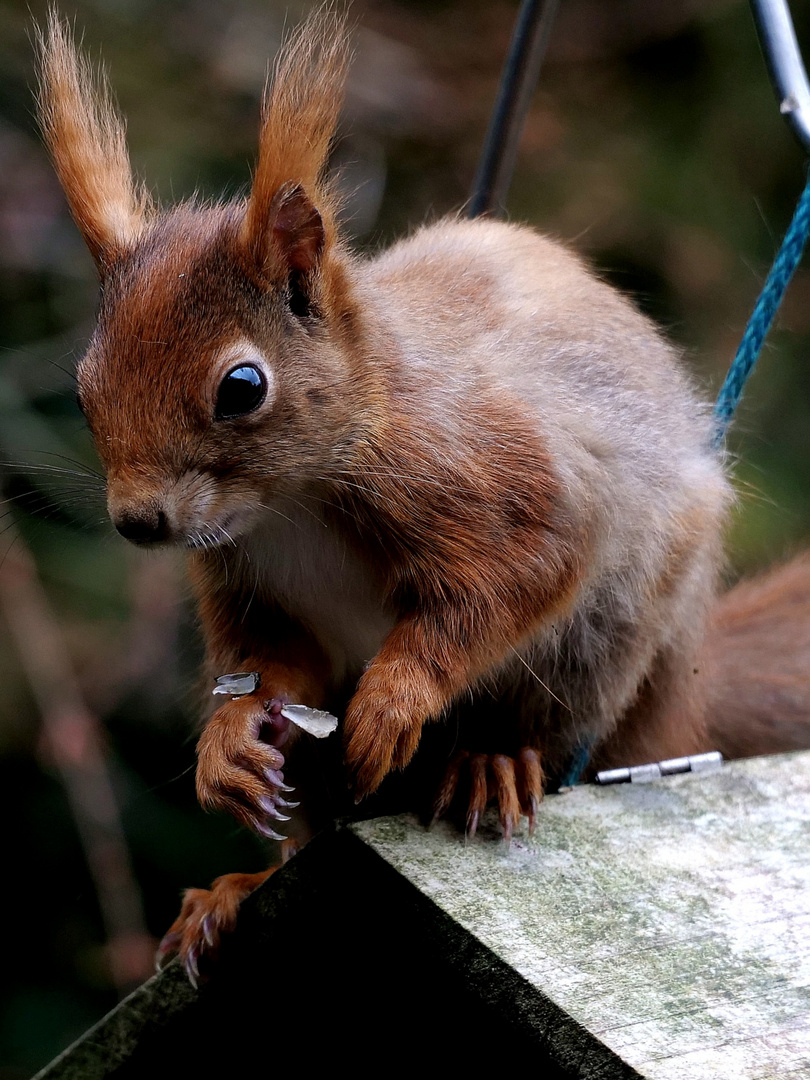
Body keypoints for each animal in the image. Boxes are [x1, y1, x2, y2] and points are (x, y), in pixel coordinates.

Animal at [38, 6, 810, 980]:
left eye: (242, 387)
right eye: (83, 387)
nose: (139, 521)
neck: (290, 501)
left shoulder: (488, 471)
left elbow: (523, 570)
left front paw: (396, 697)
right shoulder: (250, 577)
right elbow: (274, 661)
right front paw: (228, 742)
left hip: (599, 653)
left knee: (543, 717)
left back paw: (489, 760)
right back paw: (237, 891)